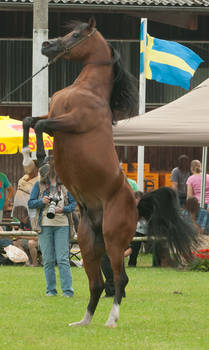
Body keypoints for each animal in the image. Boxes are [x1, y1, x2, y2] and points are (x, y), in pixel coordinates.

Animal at [22, 17, 196, 328]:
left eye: (76, 35)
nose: (47, 45)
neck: (87, 91)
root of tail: (137, 204)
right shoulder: (54, 118)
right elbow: (30, 120)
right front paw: (29, 153)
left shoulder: (70, 121)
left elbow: (39, 125)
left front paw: (40, 155)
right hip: (89, 243)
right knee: (98, 284)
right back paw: (84, 321)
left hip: (115, 242)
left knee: (120, 279)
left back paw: (111, 320)